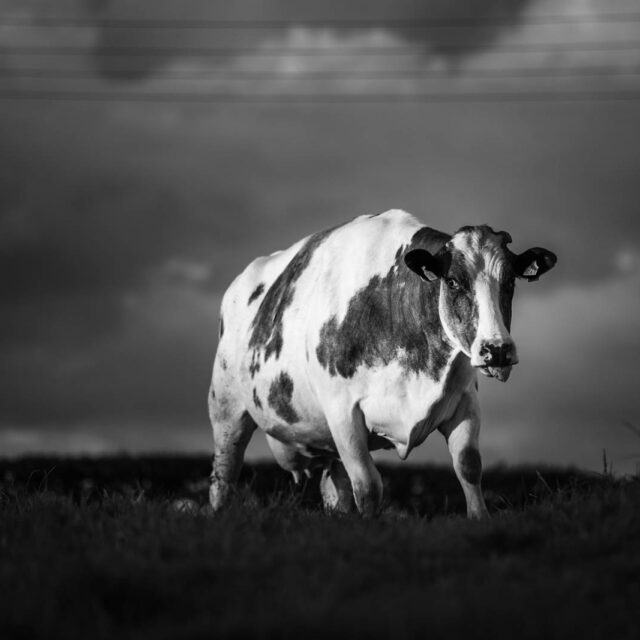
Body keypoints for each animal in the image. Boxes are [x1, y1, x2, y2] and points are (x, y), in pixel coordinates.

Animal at [208, 210, 556, 518]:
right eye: (453, 282)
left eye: (510, 281)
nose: (496, 350)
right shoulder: (342, 411)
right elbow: (368, 486)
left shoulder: (465, 400)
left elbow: (469, 467)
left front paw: (479, 518)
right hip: (226, 408)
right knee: (223, 476)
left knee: (335, 488)